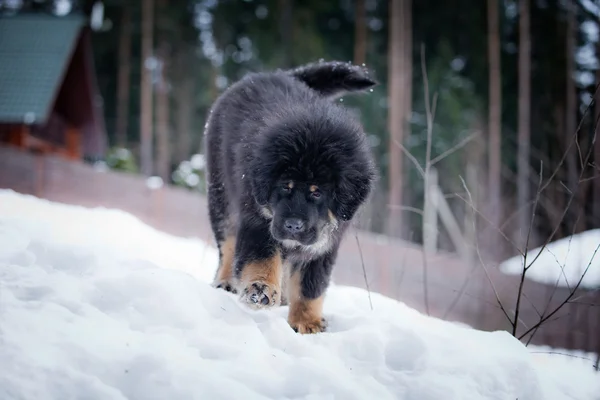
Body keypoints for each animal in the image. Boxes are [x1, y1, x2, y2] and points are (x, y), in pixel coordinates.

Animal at [204, 60, 378, 334]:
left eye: (317, 192)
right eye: (285, 187)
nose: (293, 225)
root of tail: (279, 74)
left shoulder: (324, 246)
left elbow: (310, 286)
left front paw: (307, 322)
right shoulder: (259, 223)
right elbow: (261, 260)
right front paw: (261, 289)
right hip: (221, 194)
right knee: (227, 244)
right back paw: (226, 282)